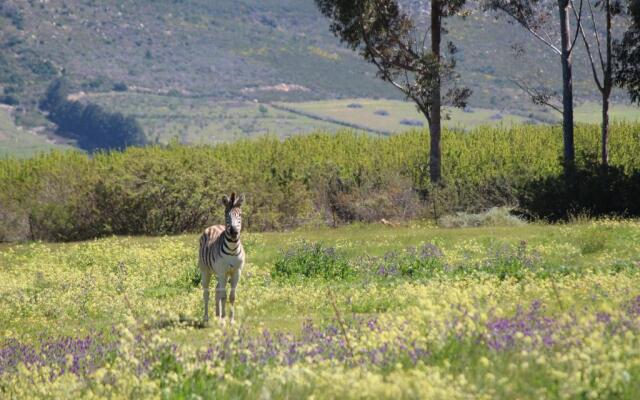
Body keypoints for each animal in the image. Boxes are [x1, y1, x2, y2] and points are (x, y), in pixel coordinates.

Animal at [198, 193, 245, 322]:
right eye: (226, 215)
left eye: (240, 215)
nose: (234, 232)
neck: (232, 249)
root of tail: (213, 226)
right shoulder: (222, 272)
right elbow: (224, 296)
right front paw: (224, 319)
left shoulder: (236, 272)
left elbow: (232, 296)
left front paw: (231, 320)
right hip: (206, 271)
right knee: (206, 293)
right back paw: (206, 317)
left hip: (220, 274)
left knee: (216, 289)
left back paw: (217, 315)